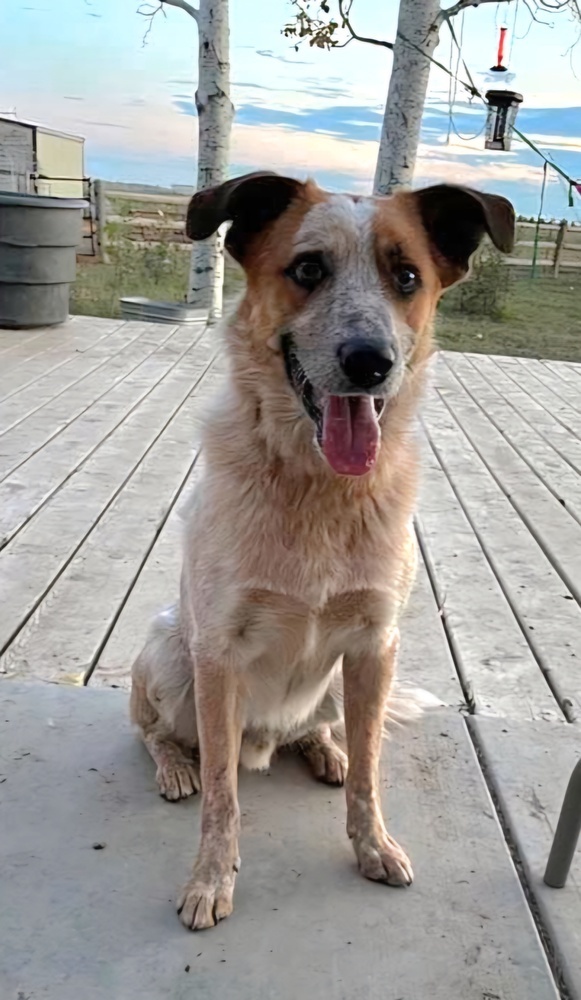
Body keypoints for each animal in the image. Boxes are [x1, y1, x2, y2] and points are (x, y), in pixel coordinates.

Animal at [128, 172, 512, 928]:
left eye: (407, 277)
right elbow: (223, 795)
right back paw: (177, 767)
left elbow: (370, 771)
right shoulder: (217, 652)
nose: (370, 363)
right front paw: (210, 879)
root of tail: (264, 738)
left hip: (336, 683)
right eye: (308, 269)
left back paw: (321, 748)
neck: (318, 490)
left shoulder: (375, 644)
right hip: (168, 655)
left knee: (318, 734)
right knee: (163, 735)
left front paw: (373, 845)